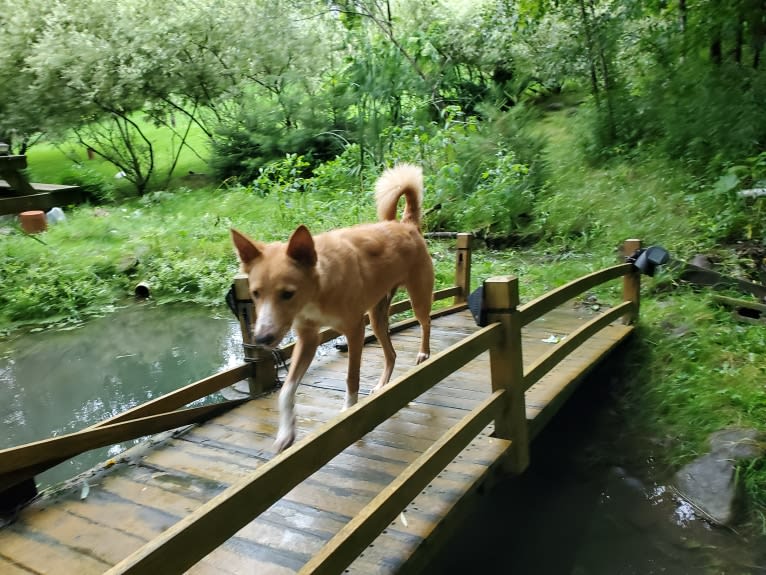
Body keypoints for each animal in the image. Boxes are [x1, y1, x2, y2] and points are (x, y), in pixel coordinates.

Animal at [231, 164, 436, 452]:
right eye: (255, 294)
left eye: (287, 293)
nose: (261, 339)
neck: (318, 291)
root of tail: (406, 224)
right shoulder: (308, 339)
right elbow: (286, 391)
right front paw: (286, 433)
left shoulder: (354, 331)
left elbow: (351, 379)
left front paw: (348, 412)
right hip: (376, 316)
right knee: (392, 354)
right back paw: (382, 384)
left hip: (416, 297)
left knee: (426, 322)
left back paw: (423, 354)